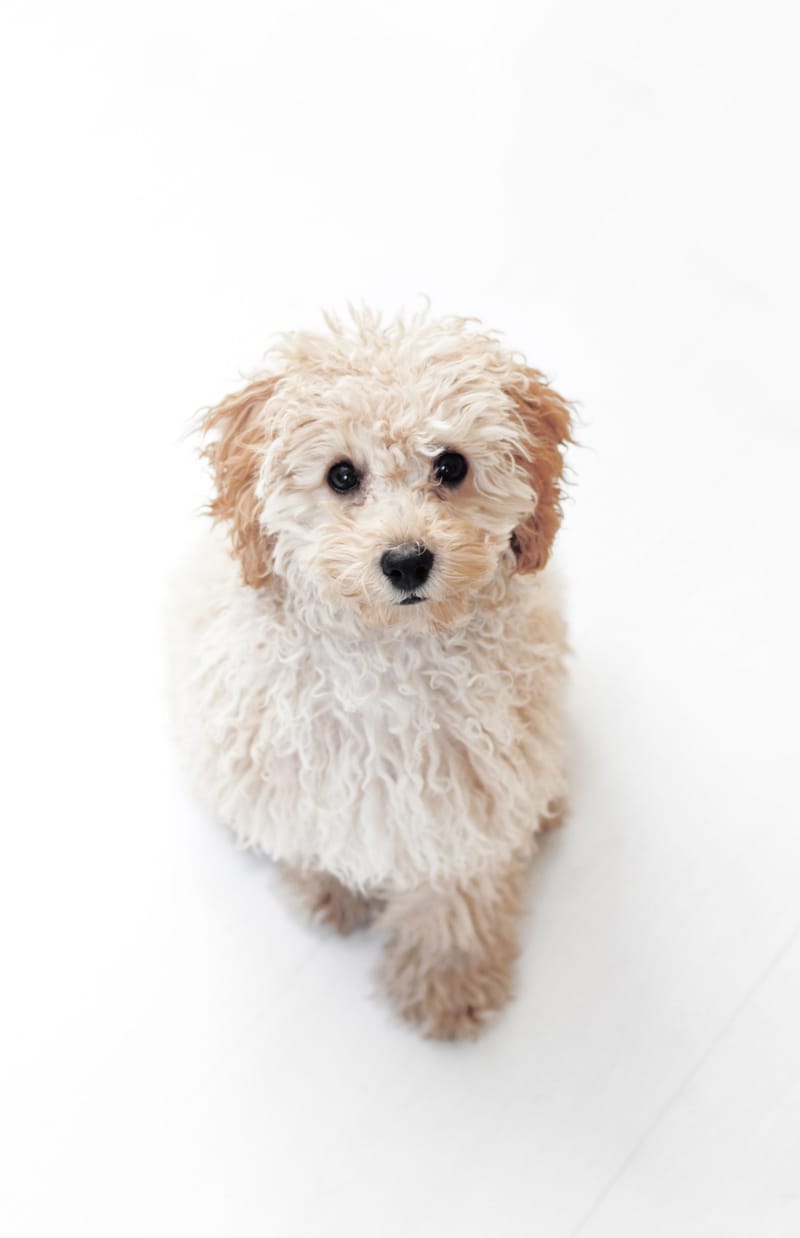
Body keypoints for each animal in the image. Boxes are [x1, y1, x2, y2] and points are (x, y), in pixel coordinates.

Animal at [170, 304, 577, 1039]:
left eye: (451, 465)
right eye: (340, 475)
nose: (407, 561)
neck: (390, 658)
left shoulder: (469, 799)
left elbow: (457, 892)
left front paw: (448, 979)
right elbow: (315, 836)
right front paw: (327, 889)